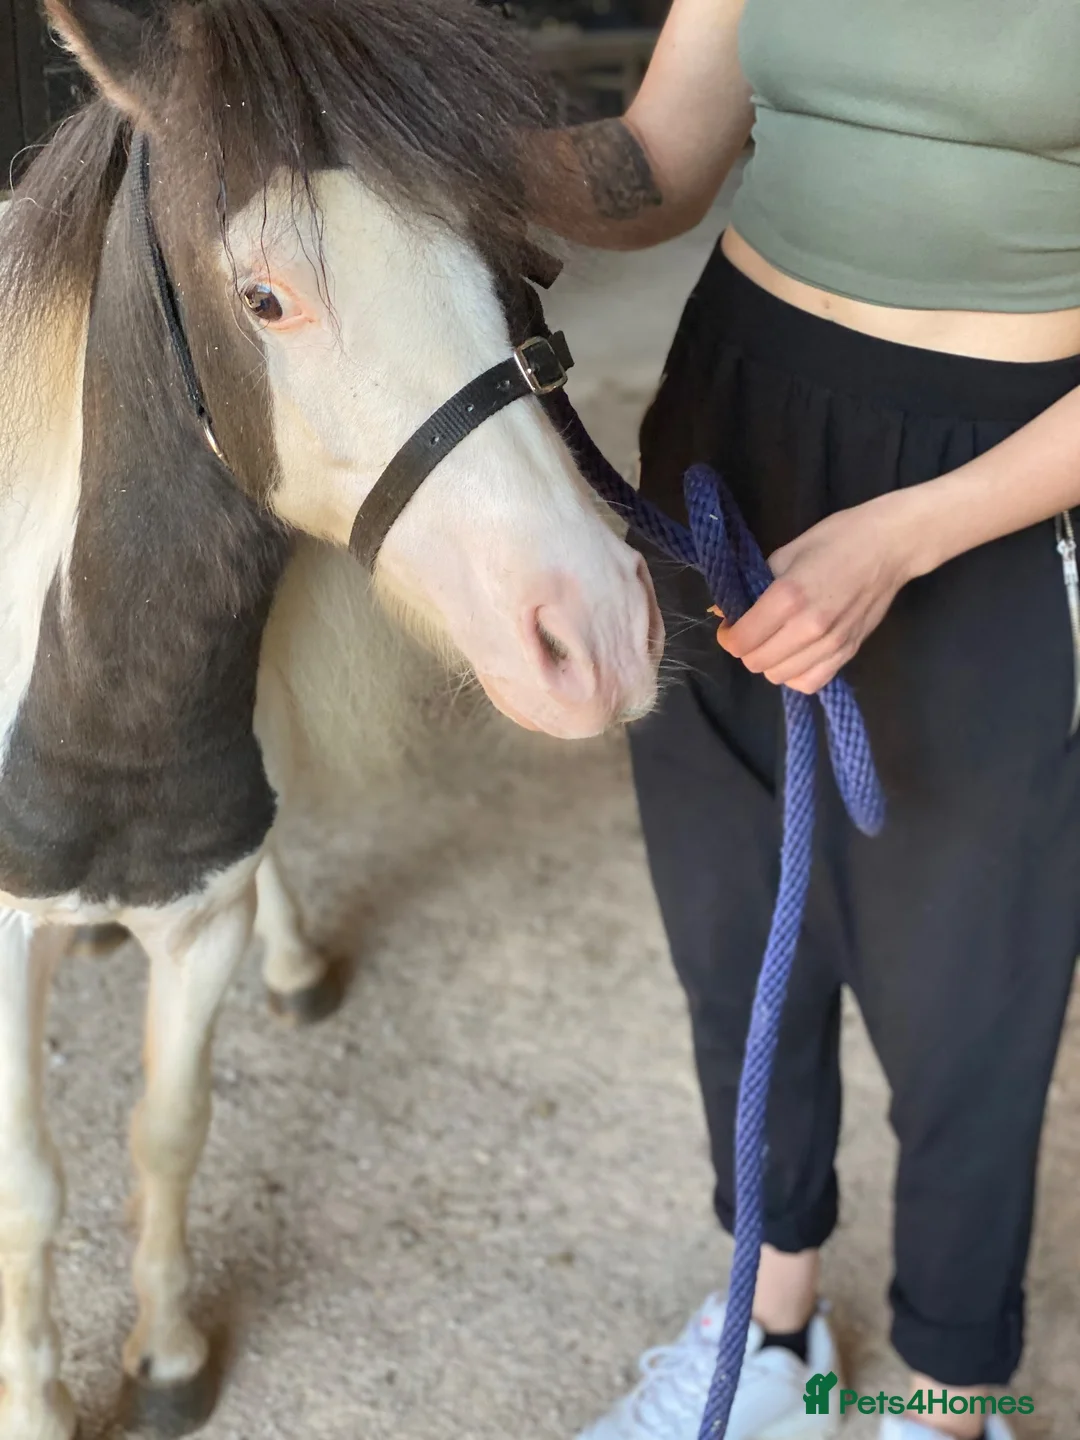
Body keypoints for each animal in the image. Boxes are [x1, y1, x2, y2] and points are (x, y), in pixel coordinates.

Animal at [0, 0, 663, 1433]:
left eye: (518, 257)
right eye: (265, 297)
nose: (598, 634)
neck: (101, 719)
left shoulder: (200, 922)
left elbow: (169, 1126)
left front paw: (169, 1353)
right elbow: (27, 1189)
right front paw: (36, 1400)